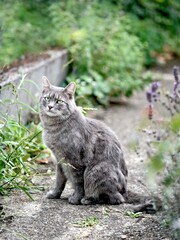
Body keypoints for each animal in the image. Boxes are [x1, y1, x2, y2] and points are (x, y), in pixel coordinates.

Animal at [39, 76, 128, 204]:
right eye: (47, 98)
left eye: (59, 101)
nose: (50, 106)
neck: (53, 127)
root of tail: (125, 192)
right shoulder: (59, 160)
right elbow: (59, 181)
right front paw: (55, 194)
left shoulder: (75, 161)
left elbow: (79, 183)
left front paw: (76, 198)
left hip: (94, 172)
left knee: (114, 198)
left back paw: (87, 199)